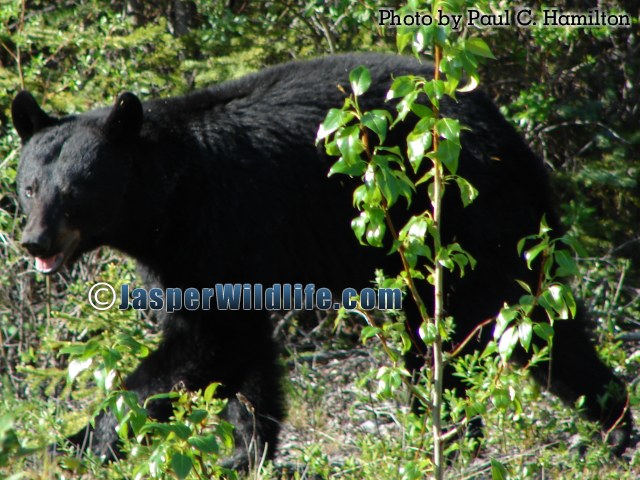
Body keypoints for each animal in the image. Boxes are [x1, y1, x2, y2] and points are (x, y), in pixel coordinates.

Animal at [12, 52, 632, 464]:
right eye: (29, 186)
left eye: (76, 191)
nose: (34, 242)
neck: (169, 194)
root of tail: (509, 133)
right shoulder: (204, 254)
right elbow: (246, 353)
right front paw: (248, 452)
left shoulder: (219, 226)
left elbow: (206, 342)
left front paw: (66, 444)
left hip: (470, 221)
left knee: (500, 321)